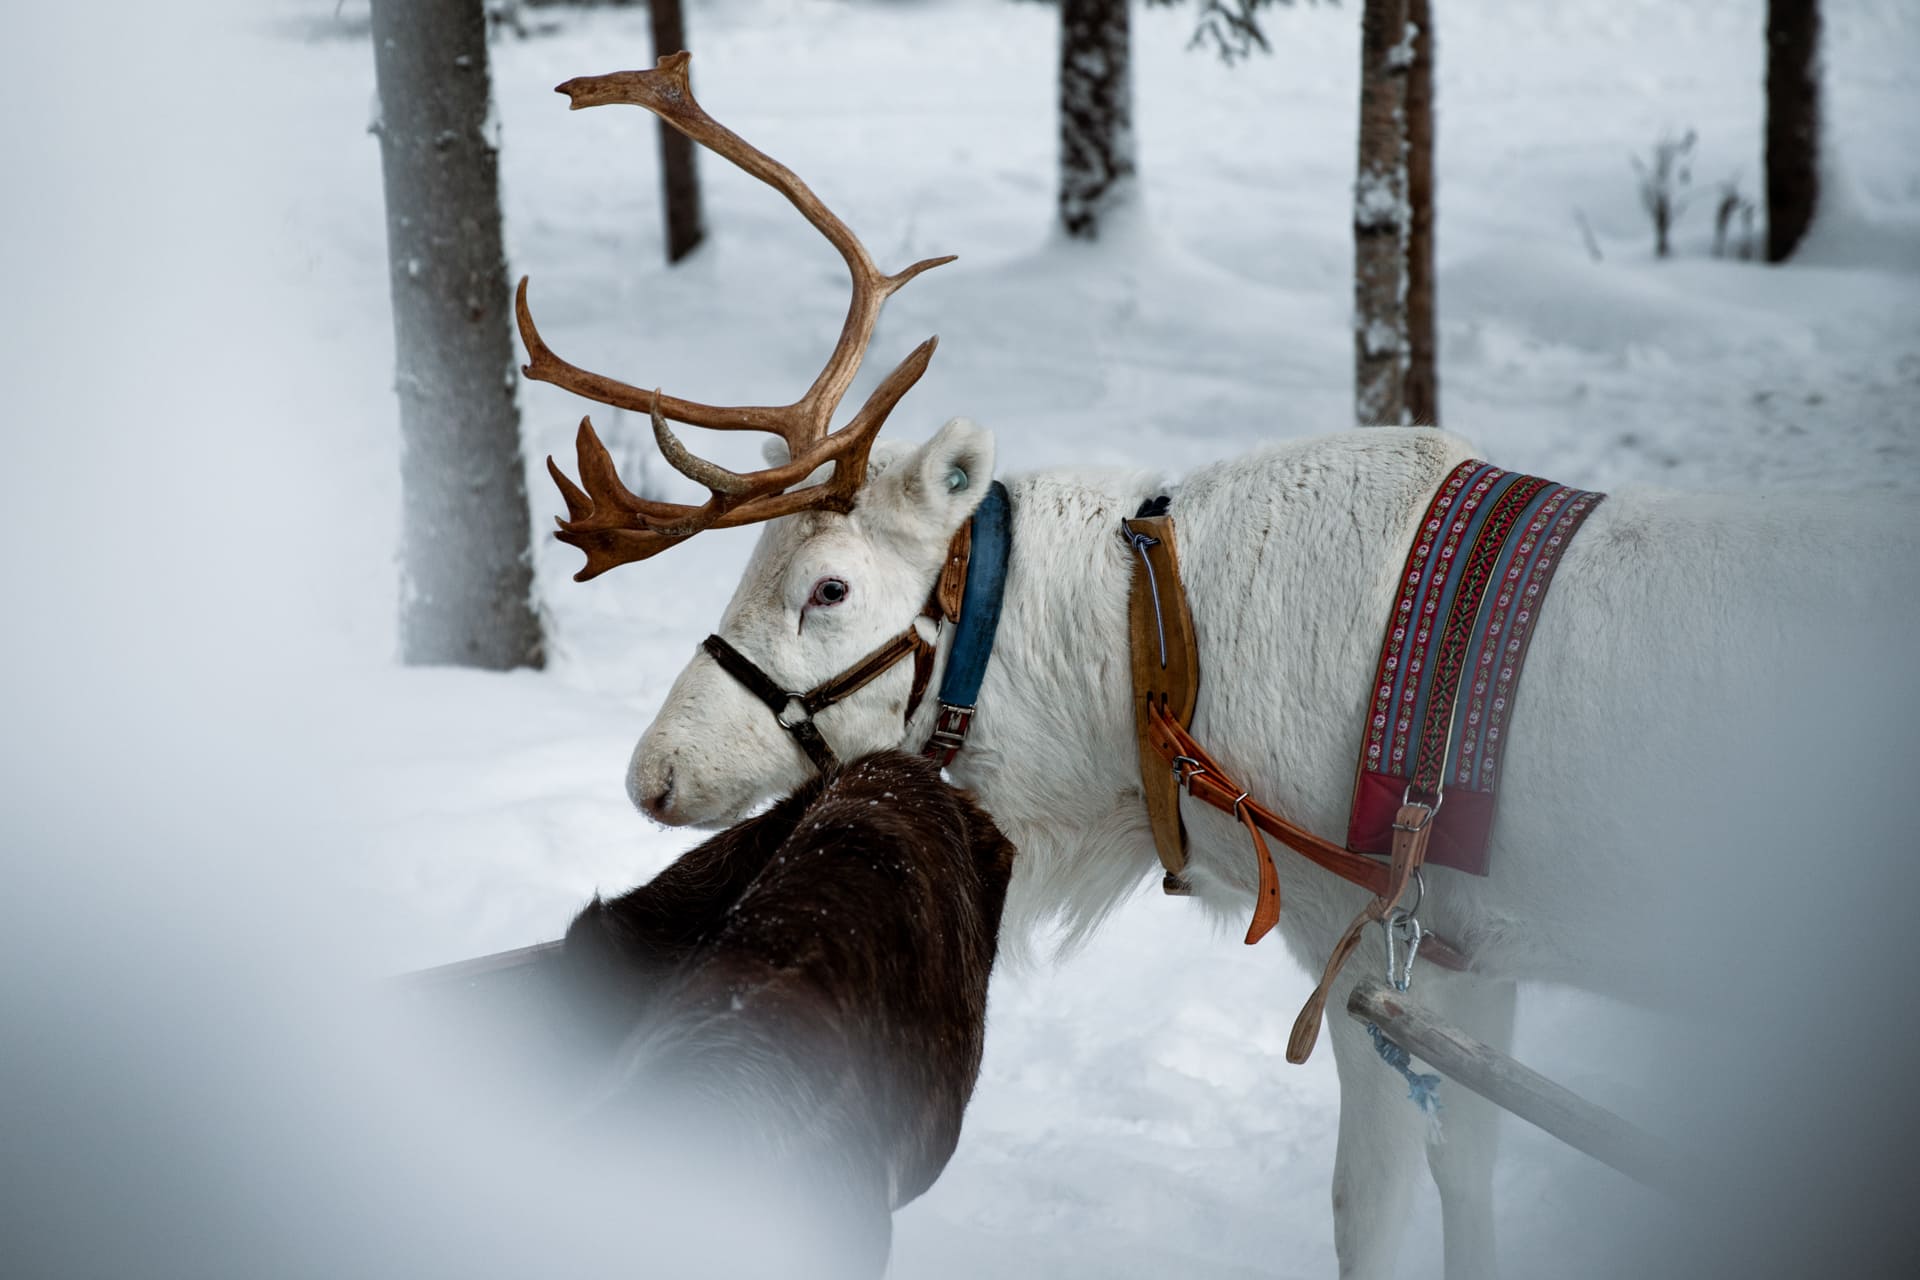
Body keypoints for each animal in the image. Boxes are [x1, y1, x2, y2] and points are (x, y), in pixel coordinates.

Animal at [516, 54, 1920, 1280]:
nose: (652, 772)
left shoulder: (1361, 952)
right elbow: (1471, 1178)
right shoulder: (1475, 956)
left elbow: (1371, 1211)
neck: (1146, 681)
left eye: (828, 587)